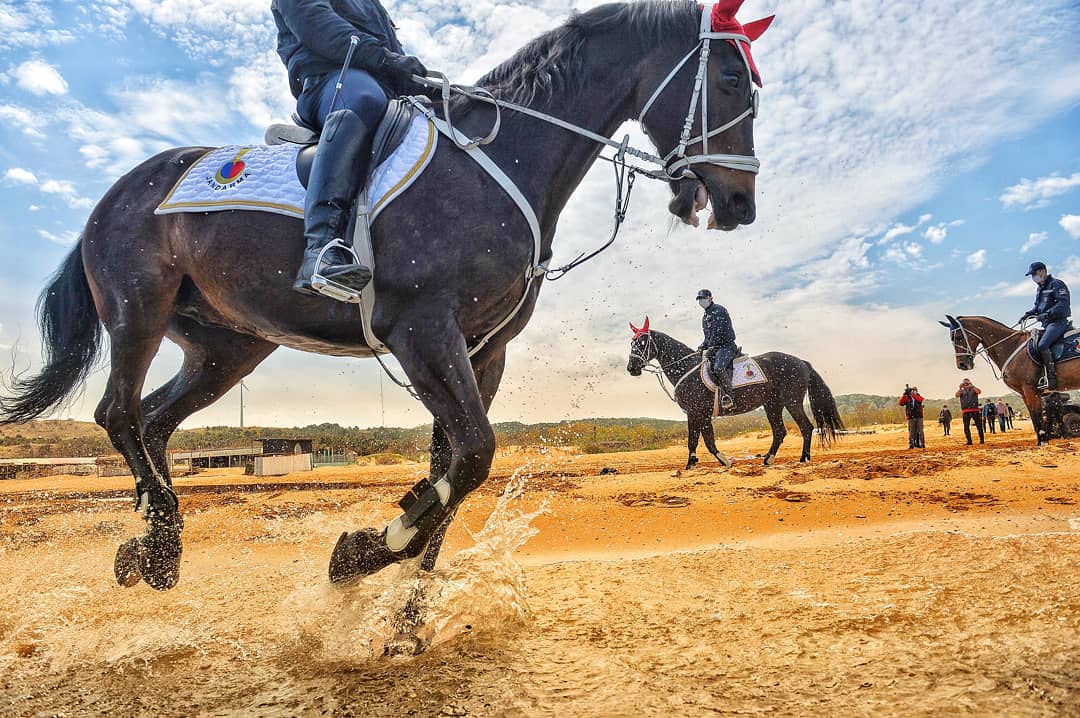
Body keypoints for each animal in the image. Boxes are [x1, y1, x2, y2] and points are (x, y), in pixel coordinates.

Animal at [0, 1, 773, 591]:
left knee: (156, 422)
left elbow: (454, 467)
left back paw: (155, 544)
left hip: (228, 347)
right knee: (119, 413)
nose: (741, 204)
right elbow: (474, 455)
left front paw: (405, 607)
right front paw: (369, 553)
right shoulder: (423, 332)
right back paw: (157, 545)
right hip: (139, 311)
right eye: (730, 78)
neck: (492, 162)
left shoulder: (483, 352)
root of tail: (120, 190)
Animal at [626, 323, 844, 468]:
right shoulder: (696, 414)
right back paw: (768, 459)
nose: (631, 368)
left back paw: (803, 458)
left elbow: (705, 441)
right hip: (772, 404)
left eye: (642, 343)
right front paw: (693, 463)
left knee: (806, 427)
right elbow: (697, 440)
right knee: (780, 431)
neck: (686, 367)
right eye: (632, 344)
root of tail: (802, 362)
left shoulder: (699, 412)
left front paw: (720, 461)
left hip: (792, 401)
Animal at [940, 315, 1080, 445]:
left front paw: (1043, 442)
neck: (1012, 345)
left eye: (958, 337)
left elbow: (1037, 416)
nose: (961, 365)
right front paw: (1041, 441)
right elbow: (1035, 418)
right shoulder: (1026, 394)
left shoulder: (1030, 390)